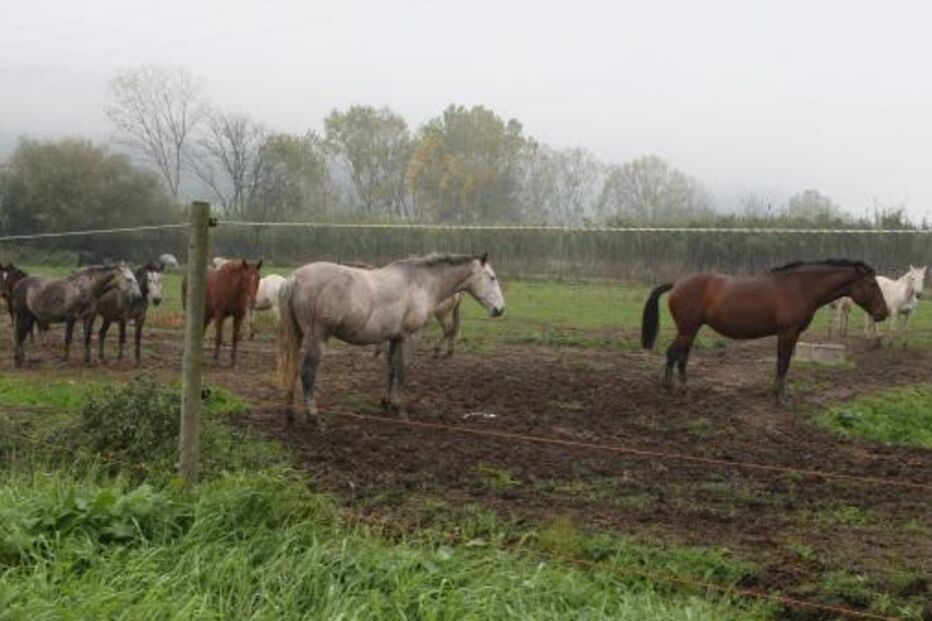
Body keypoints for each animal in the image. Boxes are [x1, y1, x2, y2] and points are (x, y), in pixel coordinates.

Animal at [11, 264, 143, 367]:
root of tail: (18, 285)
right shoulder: (71, 317)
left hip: (29, 317)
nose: (139, 297)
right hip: (23, 316)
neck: (86, 288)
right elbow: (68, 338)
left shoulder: (89, 317)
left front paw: (87, 360)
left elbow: (87, 337)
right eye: (129, 279)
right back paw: (19, 361)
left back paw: (20, 359)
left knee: (20, 335)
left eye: (135, 279)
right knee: (20, 336)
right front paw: (65, 359)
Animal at [278, 252, 506, 428]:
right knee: (307, 374)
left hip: (298, 336)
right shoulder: (408, 337)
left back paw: (290, 416)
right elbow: (402, 371)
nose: (500, 309)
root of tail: (295, 277)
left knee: (292, 370)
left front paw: (386, 403)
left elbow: (391, 370)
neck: (421, 283)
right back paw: (314, 417)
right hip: (317, 339)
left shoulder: (394, 339)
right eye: (492, 277)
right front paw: (399, 408)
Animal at [641, 259, 888, 403]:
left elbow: (784, 364)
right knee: (679, 355)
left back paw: (671, 386)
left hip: (687, 330)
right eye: (872, 284)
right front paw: (780, 398)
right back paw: (680, 388)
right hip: (688, 329)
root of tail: (677, 284)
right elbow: (782, 363)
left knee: (675, 354)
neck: (799, 287)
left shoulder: (793, 334)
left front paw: (779, 393)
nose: (883, 313)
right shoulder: (787, 333)